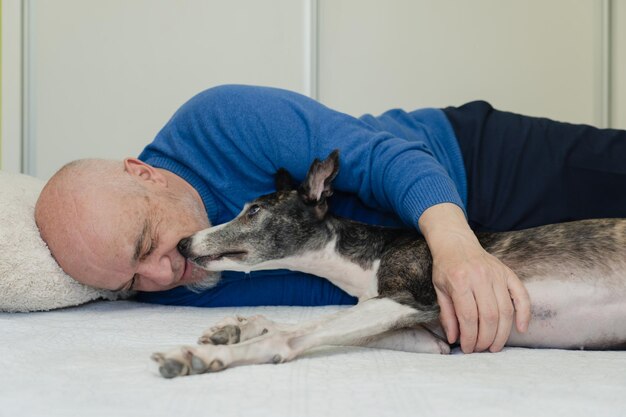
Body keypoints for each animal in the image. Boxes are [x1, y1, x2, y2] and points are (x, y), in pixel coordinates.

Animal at [150, 150, 624, 376]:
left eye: (254, 211)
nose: (184, 243)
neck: (371, 254)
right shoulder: (429, 333)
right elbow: (303, 323)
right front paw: (236, 328)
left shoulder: (411, 298)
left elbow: (299, 331)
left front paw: (204, 354)